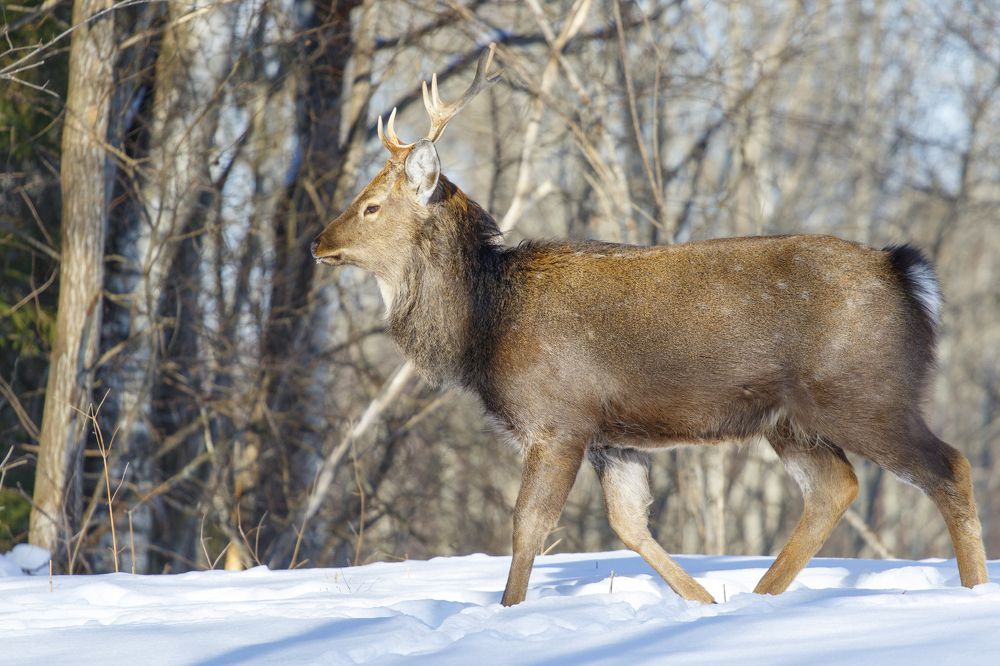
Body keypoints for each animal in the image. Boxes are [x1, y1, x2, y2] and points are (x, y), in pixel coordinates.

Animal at [310, 44, 989, 606]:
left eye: (372, 206)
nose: (319, 242)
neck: (484, 325)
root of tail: (907, 273)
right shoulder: (614, 437)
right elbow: (629, 524)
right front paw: (700, 602)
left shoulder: (558, 418)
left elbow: (529, 526)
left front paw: (507, 612)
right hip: (791, 418)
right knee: (834, 488)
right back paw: (758, 598)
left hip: (865, 390)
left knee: (950, 467)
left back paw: (973, 591)